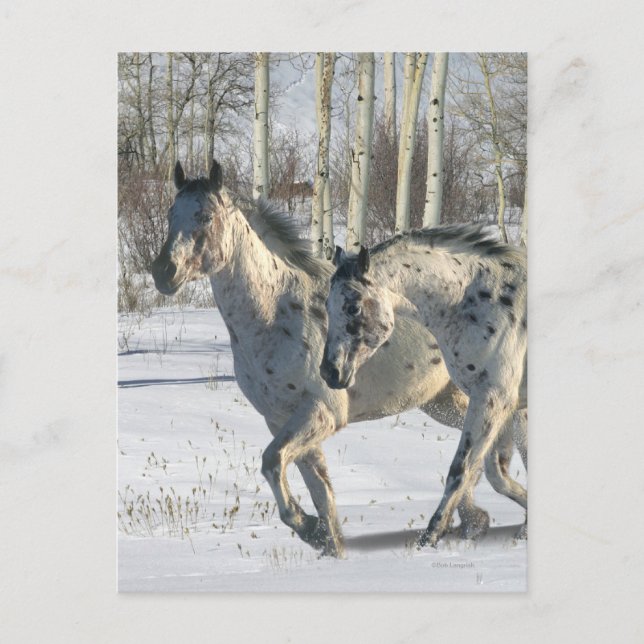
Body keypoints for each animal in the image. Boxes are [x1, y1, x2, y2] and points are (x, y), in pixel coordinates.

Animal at [321, 228, 528, 548]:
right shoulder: (513, 406)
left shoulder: (494, 398)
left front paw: (430, 537)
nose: (330, 372)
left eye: (352, 307)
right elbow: (497, 472)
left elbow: (461, 468)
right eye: (326, 306)